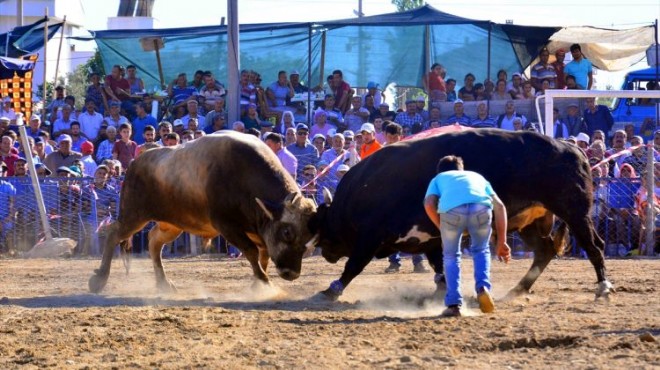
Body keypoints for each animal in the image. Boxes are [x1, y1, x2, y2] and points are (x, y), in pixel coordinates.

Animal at [310, 130, 612, 300]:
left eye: (323, 227)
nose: (324, 251)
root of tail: (572, 149)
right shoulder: (431, 238)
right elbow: (439, 266)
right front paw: (441, 290)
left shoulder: (369, 237)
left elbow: (354, 265)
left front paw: (331, 290)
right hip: (530, 222)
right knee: (545, 250)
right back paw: (519, 289)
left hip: (575, 213)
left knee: (594, 246)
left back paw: (603, 286)